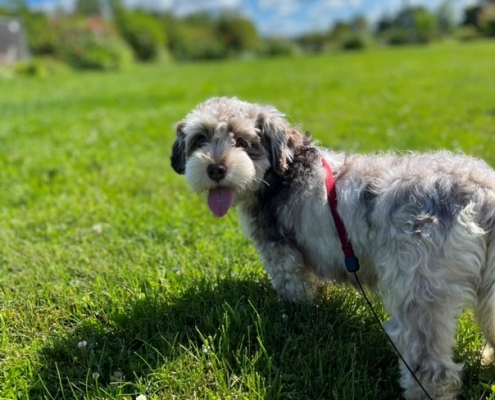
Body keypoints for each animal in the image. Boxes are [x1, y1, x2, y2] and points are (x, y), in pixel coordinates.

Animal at [170, 97, 495, 400]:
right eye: (200, 139)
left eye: (242, 141)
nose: (216, 169)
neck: (284, 174)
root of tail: (480, 194)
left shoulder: (281, 253)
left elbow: (294, 291)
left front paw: (294, 315)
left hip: (419, 293)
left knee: (432, 367)